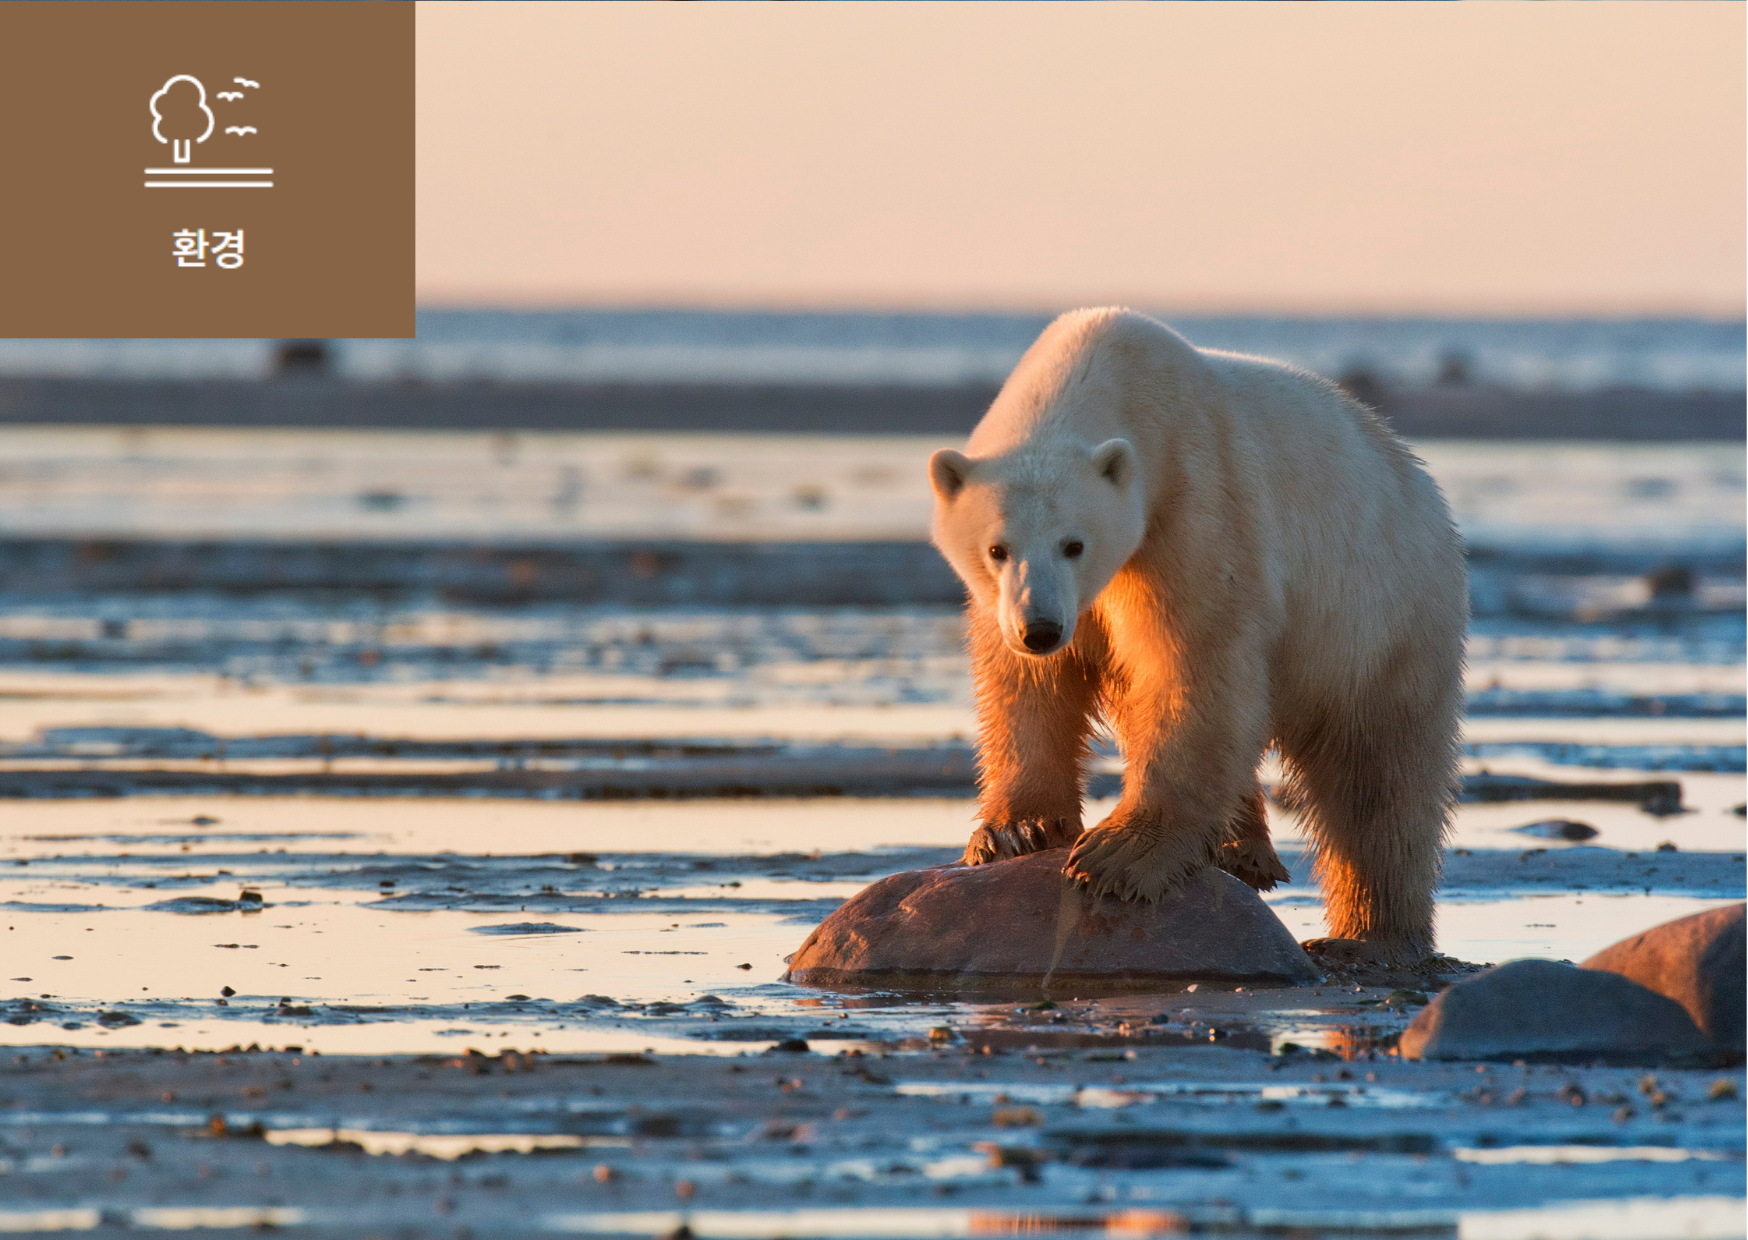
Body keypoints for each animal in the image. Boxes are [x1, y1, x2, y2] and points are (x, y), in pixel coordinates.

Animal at [936, 307, 1468, 958]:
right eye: (997, 548)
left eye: (1074, 543)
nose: (1040, 627)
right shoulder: (1021, 605)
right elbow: (1028, 686)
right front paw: (1017, 831)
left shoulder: (1196, 507)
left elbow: (1195, 665)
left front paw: (1118, 856)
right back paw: (1246, 849)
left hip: (1381, 617)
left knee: (1379, 777)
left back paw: (1372, 934)